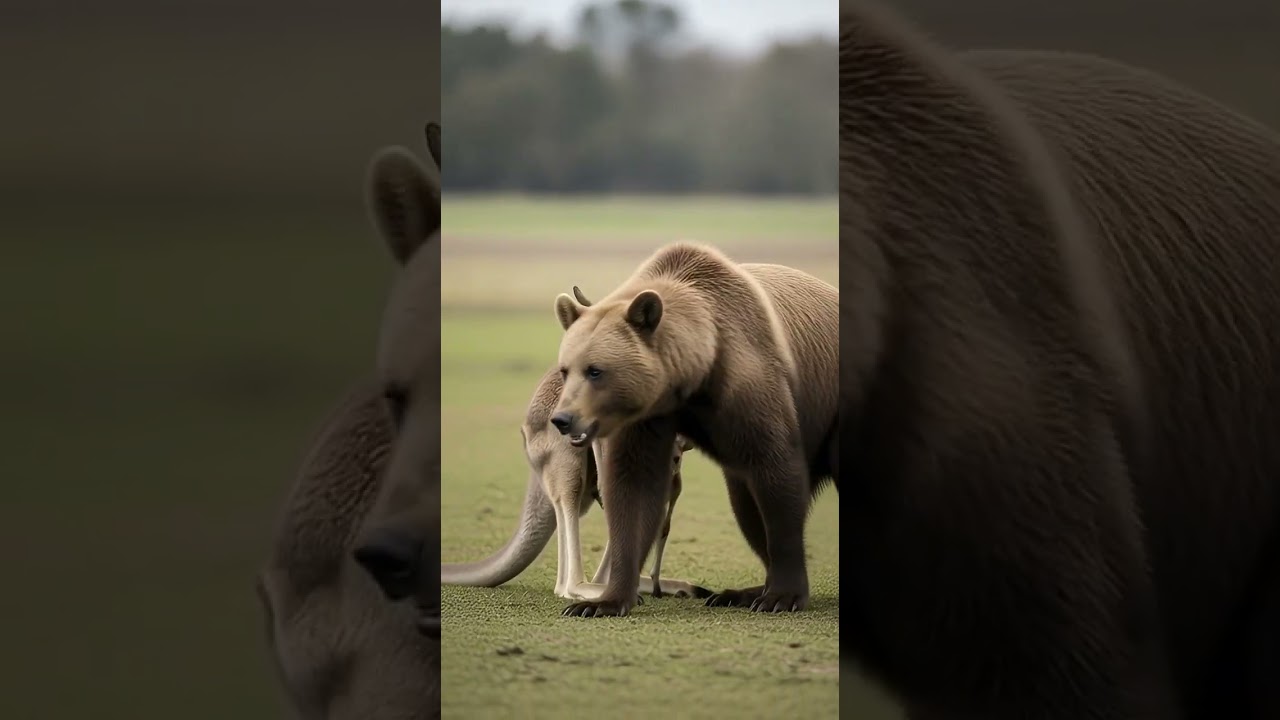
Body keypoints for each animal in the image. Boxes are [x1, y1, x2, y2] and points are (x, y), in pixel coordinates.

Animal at [549, 243, 839, 618]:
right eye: (565, 369)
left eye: (595, 370)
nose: (563, 418)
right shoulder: (649, 415)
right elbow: (635, 488)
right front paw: (603, 601)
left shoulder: (750, 386)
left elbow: (776, 475)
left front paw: (782, 596)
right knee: (744, 505)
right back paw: (738, 592)